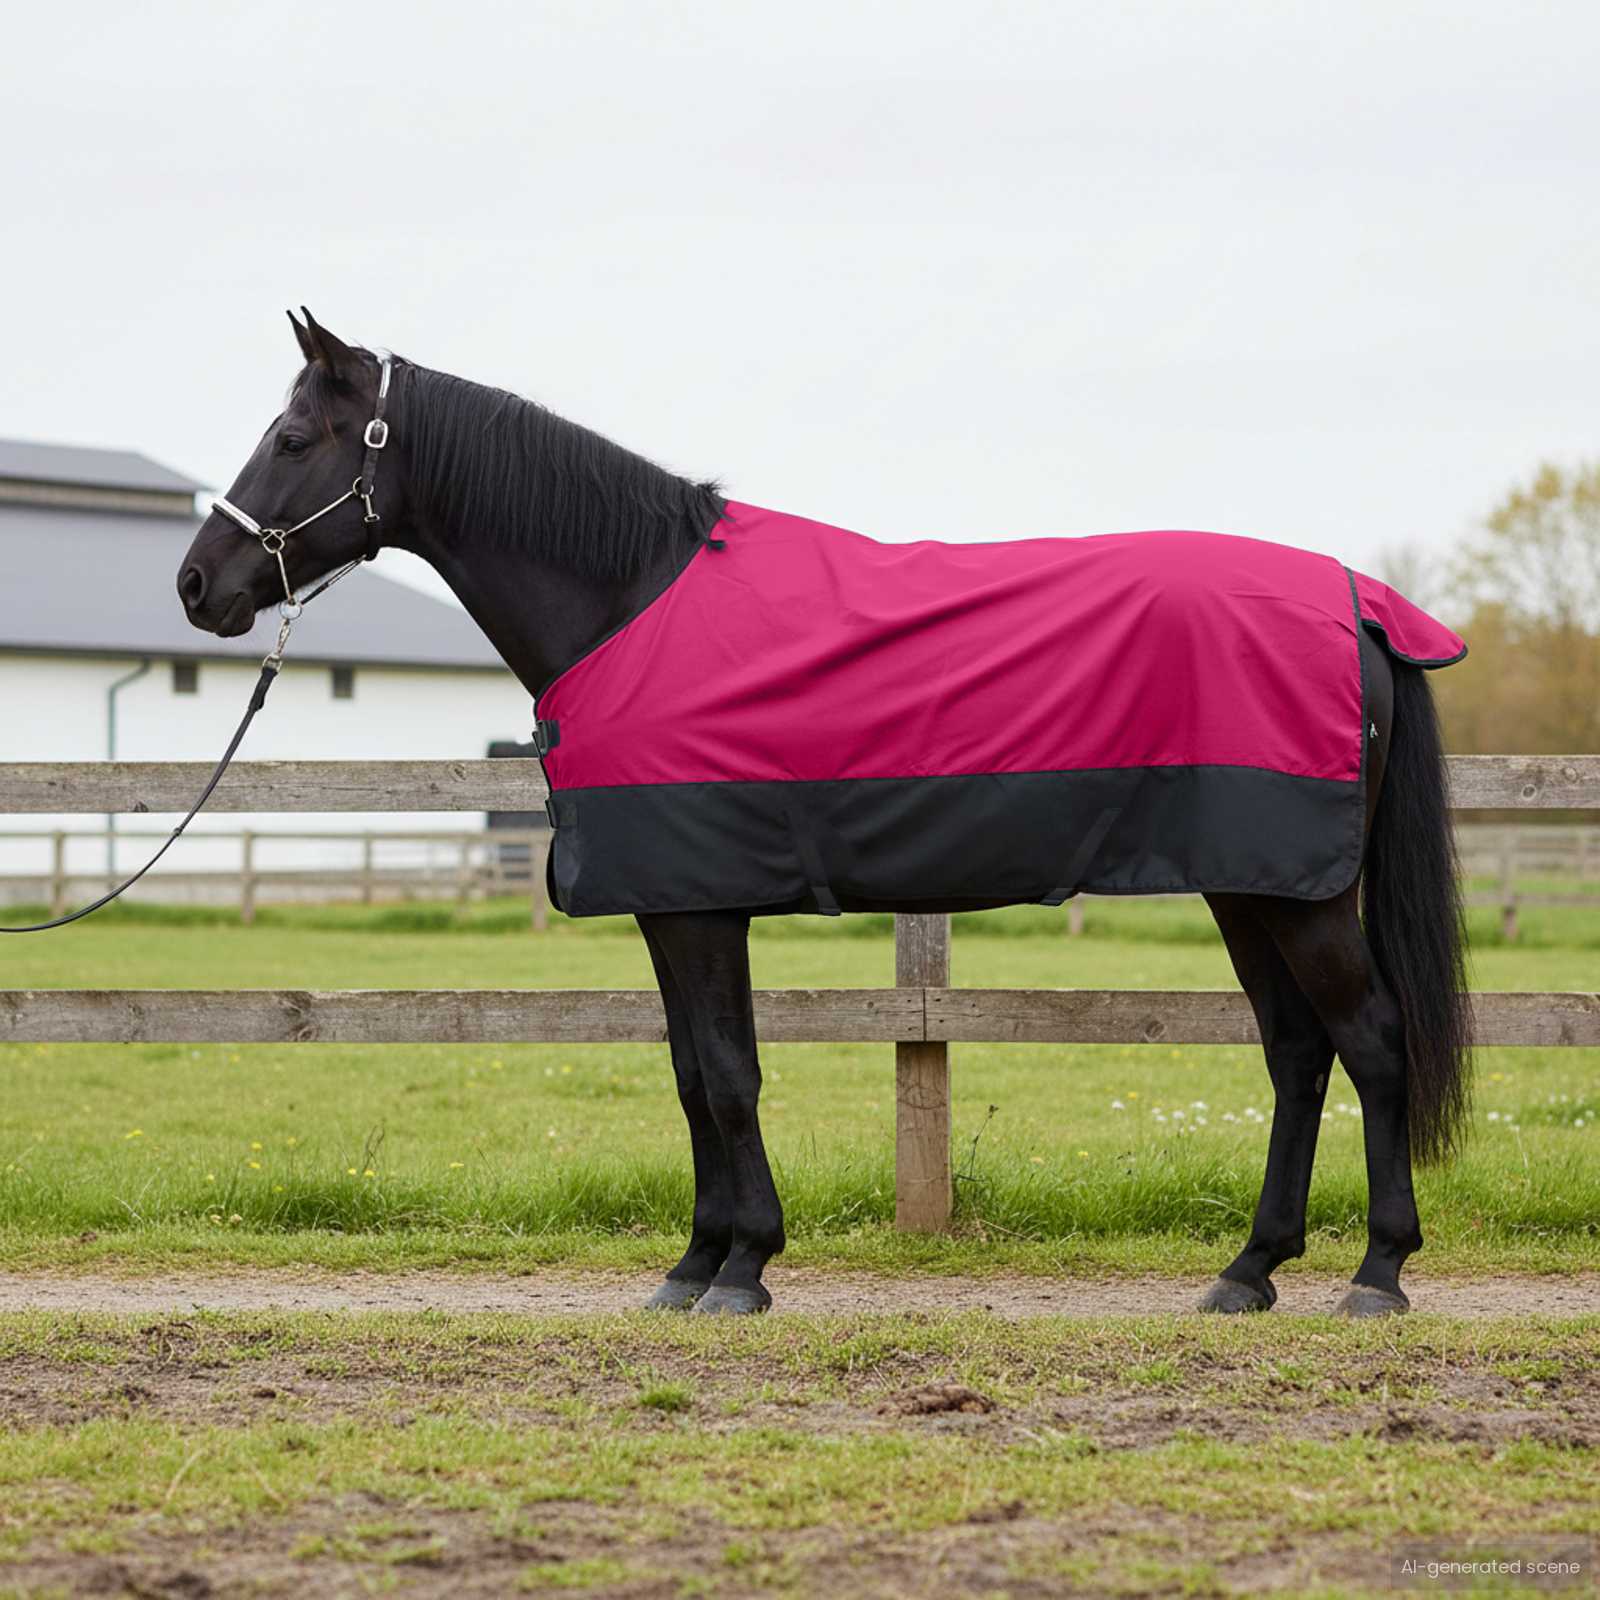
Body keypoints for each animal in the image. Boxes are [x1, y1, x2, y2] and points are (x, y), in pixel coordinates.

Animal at [176, 310, 1471, 1318]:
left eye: (291, 439)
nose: (198, 585)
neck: (629, 598)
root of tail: (1357, 602)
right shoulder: (678, 905)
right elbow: (694, 1073)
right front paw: (697, 1262)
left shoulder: (698, 907)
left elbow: (726, 1075)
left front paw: (741, 1266)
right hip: (1251, 885)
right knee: (1297, 1052)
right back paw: (1248, 1270)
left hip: (1295, 894)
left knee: (1371, 1041)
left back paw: (1376, 1272)